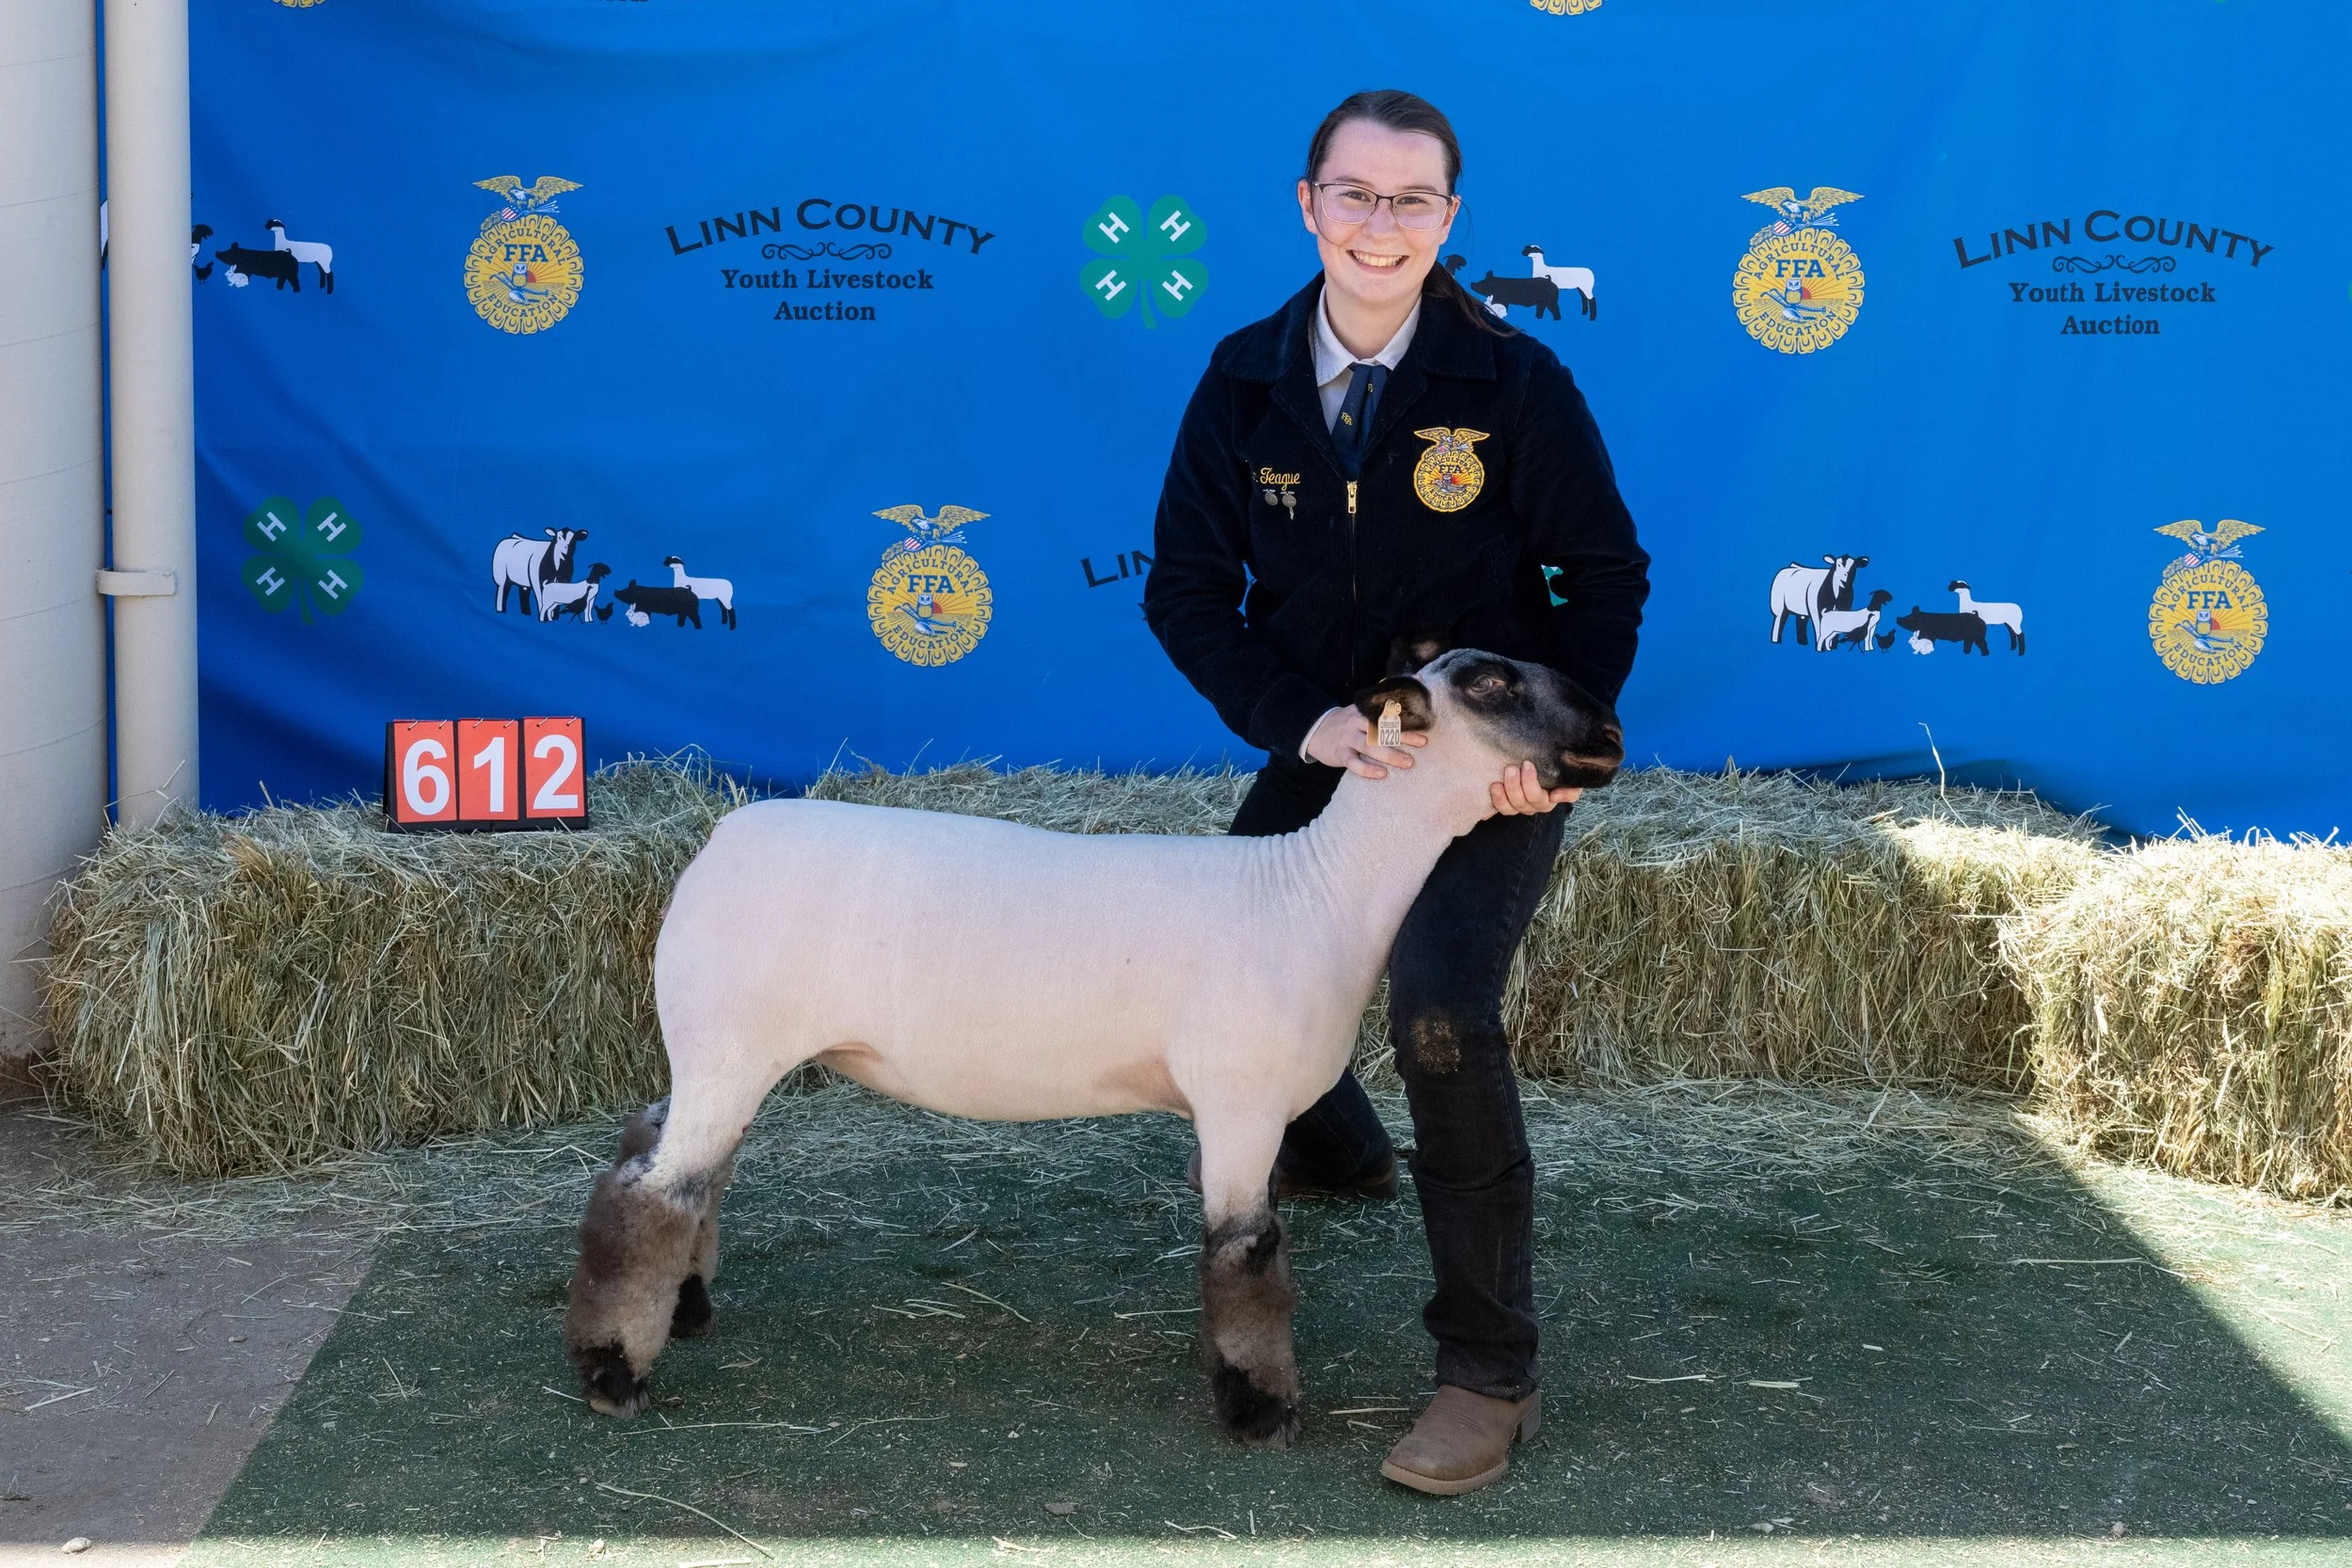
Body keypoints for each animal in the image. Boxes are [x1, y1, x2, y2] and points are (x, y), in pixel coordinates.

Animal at [563, 648, 1625, 1448]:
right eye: (1490, 683)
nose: (1610, 733)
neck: (1317, 890)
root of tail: (722, 836)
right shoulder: (1238, 1102)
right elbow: (1246, 1258)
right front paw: (1259, 1408)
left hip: (718, 1049)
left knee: (659, 1156)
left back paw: (683, 1309)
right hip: (731, 1044)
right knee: (649, 1196)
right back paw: (613, 1372)